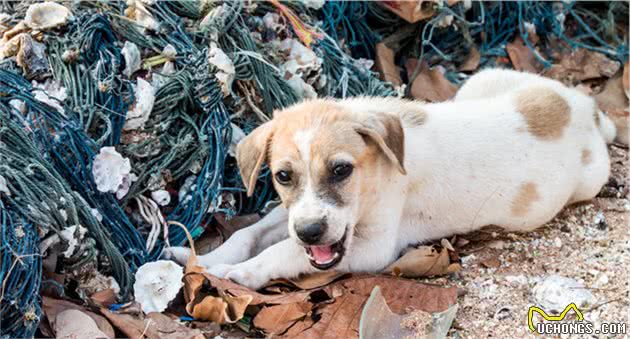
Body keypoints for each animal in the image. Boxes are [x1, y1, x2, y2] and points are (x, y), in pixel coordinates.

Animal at [165, 69, 616, 290]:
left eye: (342, 170)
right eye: (283, 176)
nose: (311, 232)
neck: (378, 174)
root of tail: (584, 105)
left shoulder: (373, 248)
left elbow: (283, 252)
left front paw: (240, 274)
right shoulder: (295, 214)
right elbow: (252, 234)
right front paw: (202, 258)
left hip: (589, 178)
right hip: (481, 80)